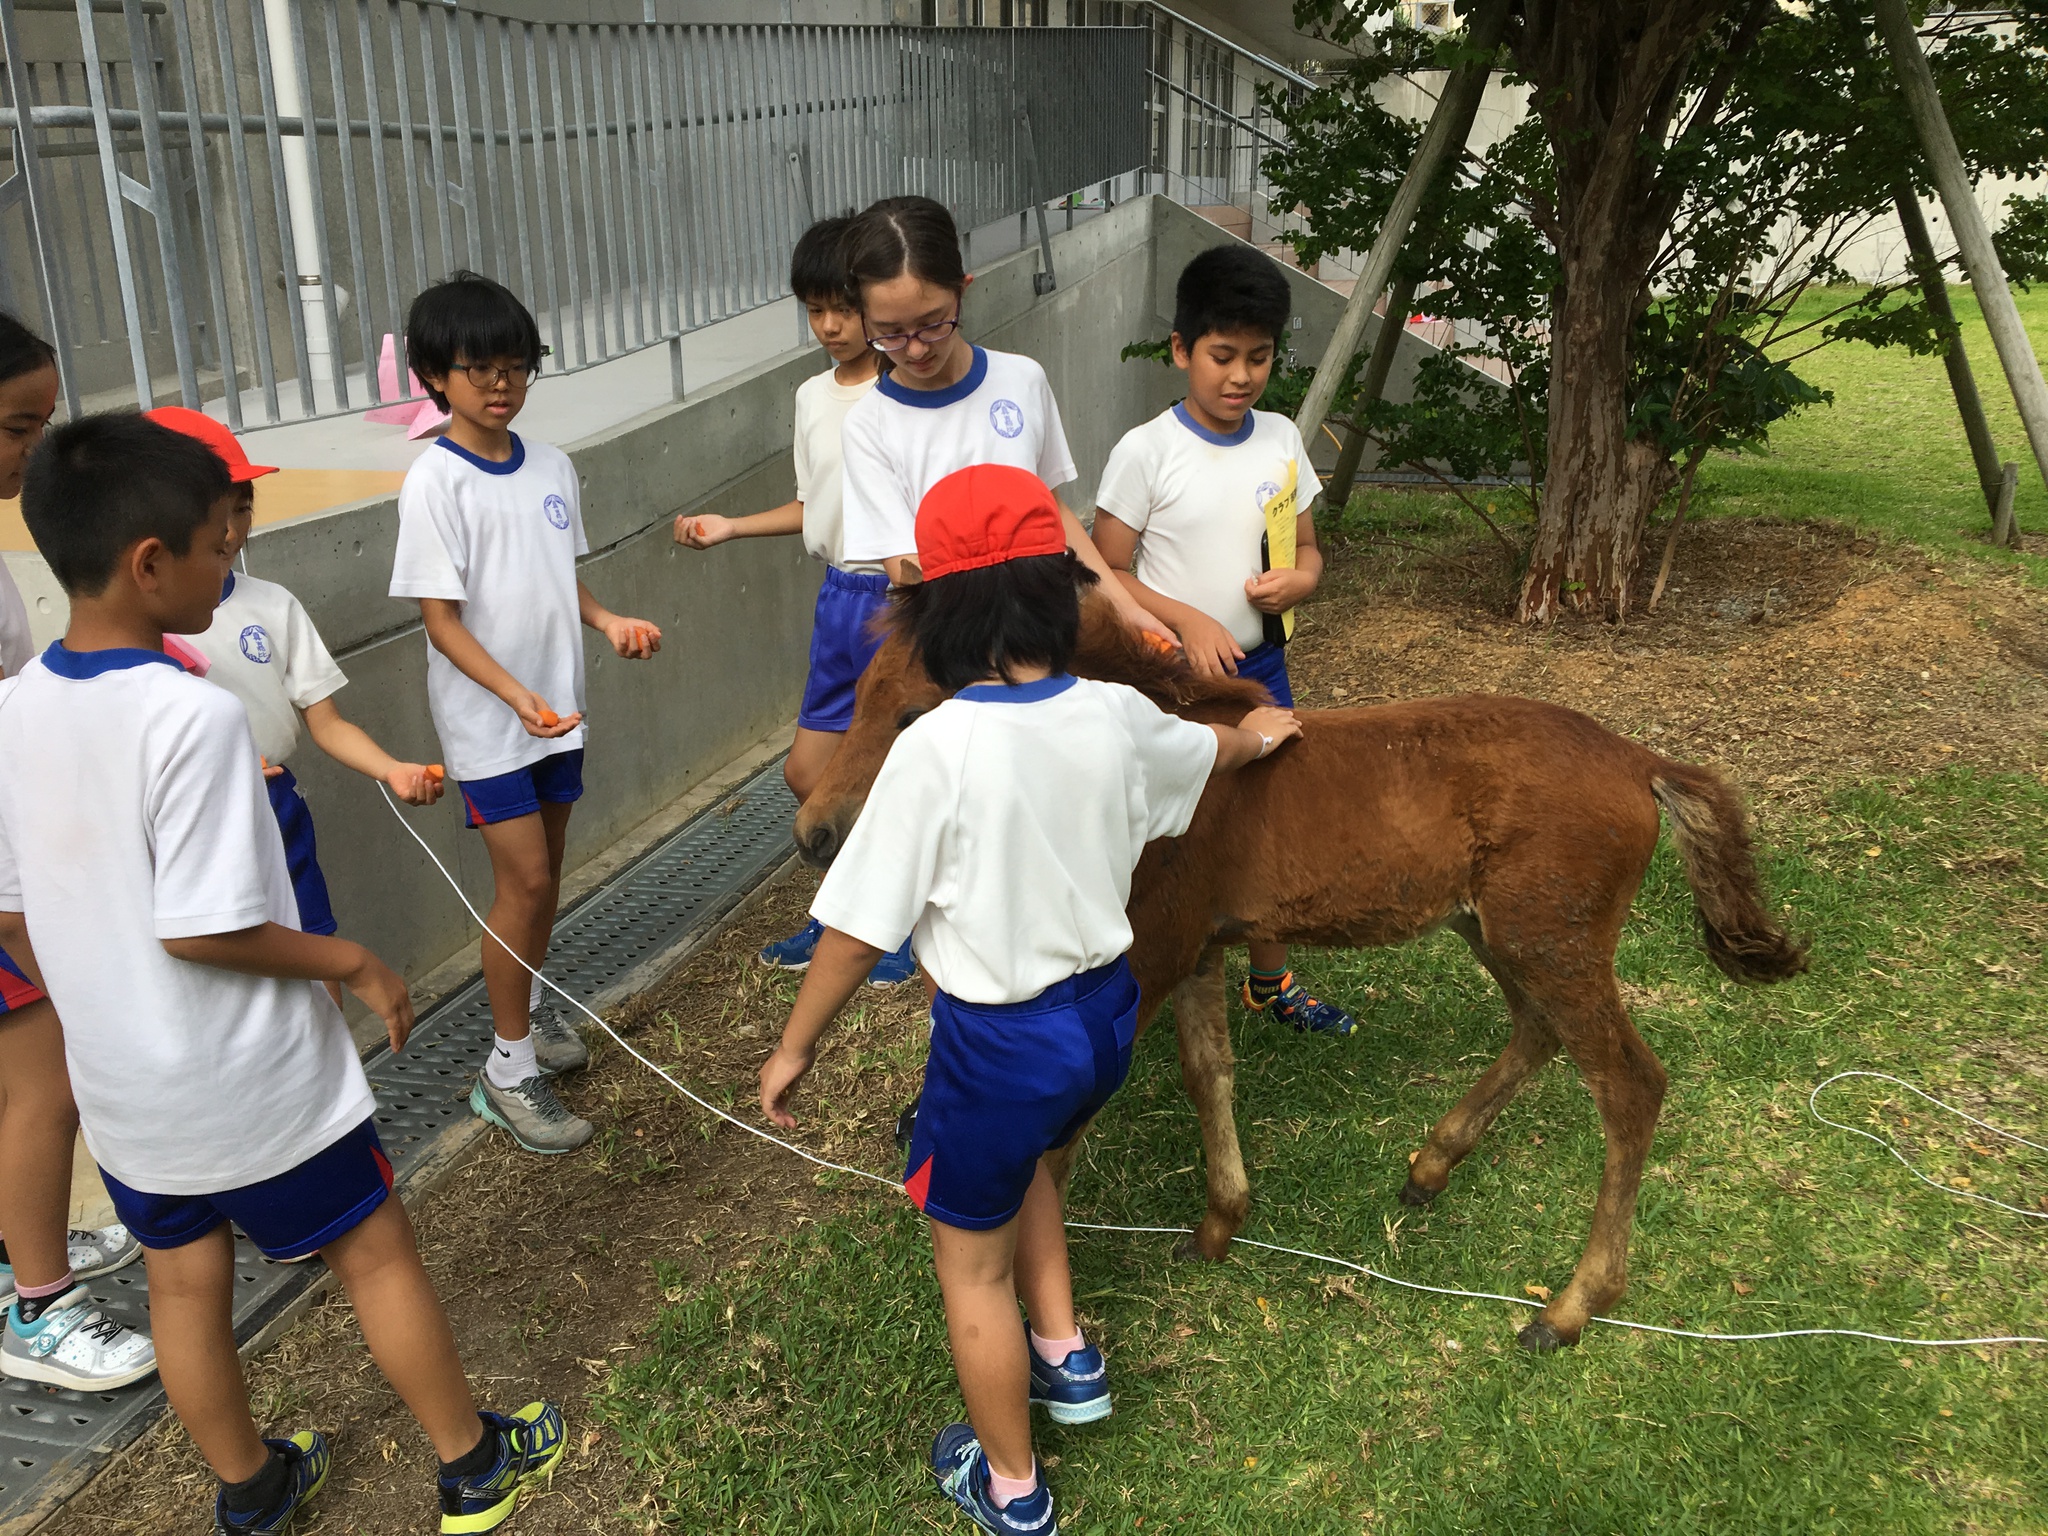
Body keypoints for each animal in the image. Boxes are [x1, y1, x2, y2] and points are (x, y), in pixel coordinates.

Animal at [798, 598, 1810, 1343]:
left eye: (915, 712)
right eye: (857, 696)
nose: (814, 831)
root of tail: (1639, 760)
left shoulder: (1154, 949)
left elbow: (1063, 1137)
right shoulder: (1198, 945)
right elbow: (1208, 1072)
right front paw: (1218, 1226)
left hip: (1548, 938)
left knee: (1629, 1085)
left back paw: (1569, 1306)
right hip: (1497, 932)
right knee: (1537, 1032)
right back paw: (1432, 1165)